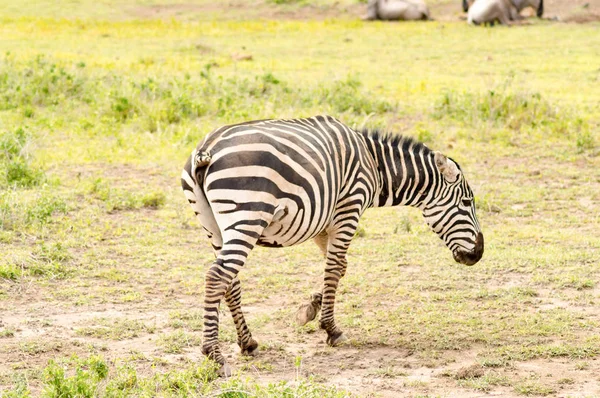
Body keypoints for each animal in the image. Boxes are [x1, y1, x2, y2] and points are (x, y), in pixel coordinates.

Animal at [180, 115, 486, 376]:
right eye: (467, 202)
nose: (478, 253)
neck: (375, 165)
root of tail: (207, 148)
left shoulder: (323, 222)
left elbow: (338, 268)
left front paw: (309, 309)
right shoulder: (349, 209)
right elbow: (335, 267)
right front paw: (331, 329)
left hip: (213, 226)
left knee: (229, 281)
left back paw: (247, 342)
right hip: (247, 215)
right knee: (217, 276)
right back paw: (215, 355)